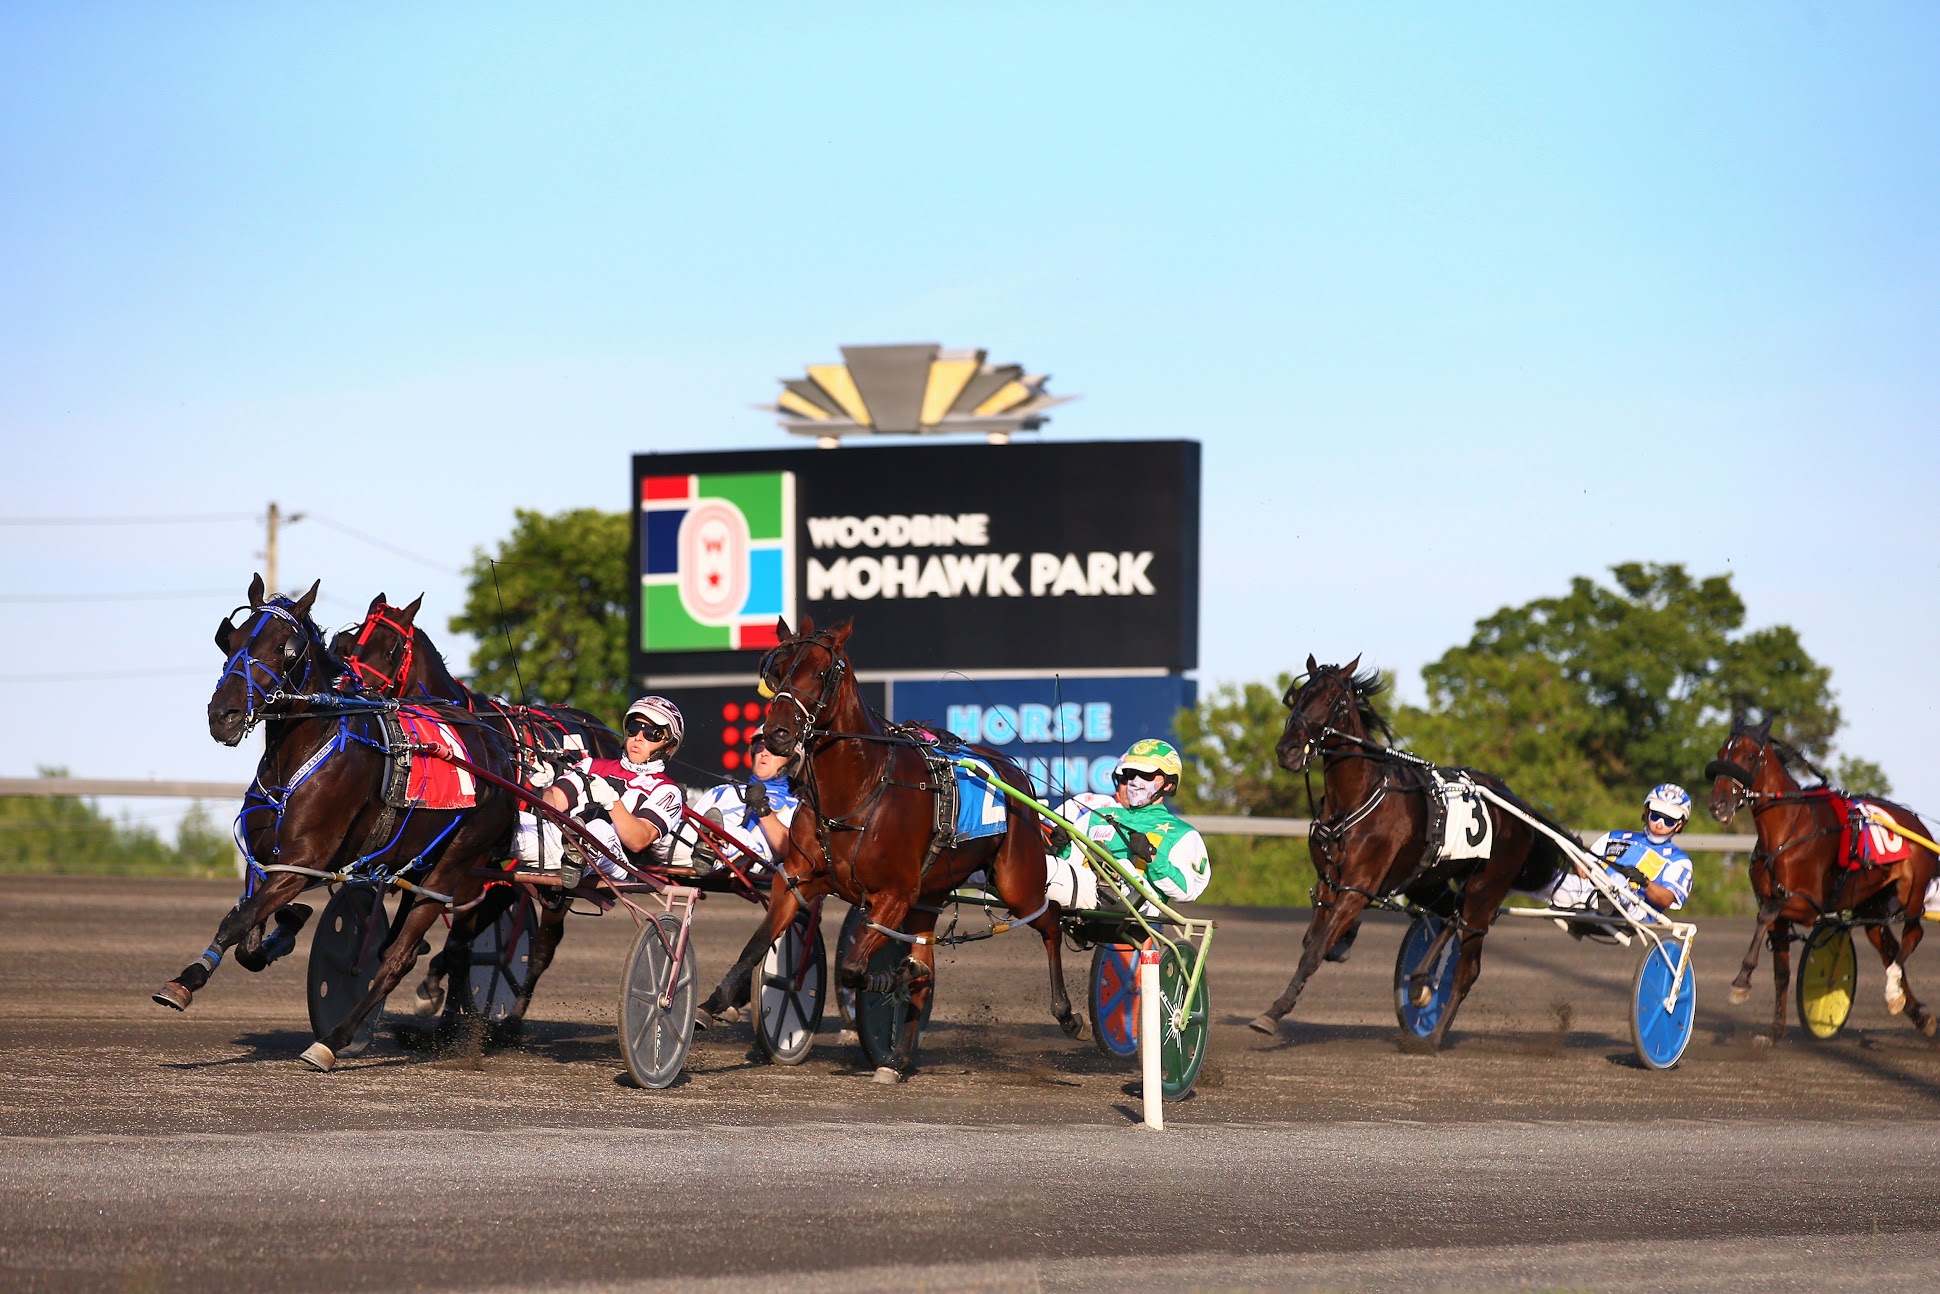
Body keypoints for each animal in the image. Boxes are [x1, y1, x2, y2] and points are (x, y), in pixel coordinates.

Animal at [155, 578, 523, 1070]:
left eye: (284, 647)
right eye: (230, 641)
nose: (223, 715)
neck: (307, 745)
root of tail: (501, 755)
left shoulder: (303, 861)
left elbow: (238, 921)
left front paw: (186, 980)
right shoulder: (266, 862)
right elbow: (249, 937)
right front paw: (285, 928)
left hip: (454, 865)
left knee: (400, 957)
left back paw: (333, 1040)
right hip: (421, 861)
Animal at [323, 593, 613, 1032]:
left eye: (392, 648)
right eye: (349, 643)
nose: (351, 690)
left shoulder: (472, 860)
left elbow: (458, 936)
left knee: (543, 943)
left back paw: (511, 1017)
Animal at [694, 616, 1086, 1086]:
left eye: (822, 672)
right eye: (777, 672)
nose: (778, 735)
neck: (861, 790)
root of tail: (1013, 771)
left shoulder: (894, 894)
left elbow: (853, 968)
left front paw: (890, 977)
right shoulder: (798, 881)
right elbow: (756, 946)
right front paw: (713, 1003)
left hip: (1015, 880)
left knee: (1049, 919)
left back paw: (1066, 1014)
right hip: (929, 897)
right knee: (929, 957)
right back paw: (896, 1059)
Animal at [1241, 659, 1575, 1055]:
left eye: (1335, 701)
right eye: (1297, 697)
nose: (1288, 750)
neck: (1354, 799)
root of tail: (1517, 807)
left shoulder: (1358, 886)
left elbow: (1315, 951)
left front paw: (1272, 1013)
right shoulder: (1328, 882)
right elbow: (1313, 941)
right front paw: (1342, 944)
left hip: (1486, 888)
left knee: (1468, 961)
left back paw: (1432, 1036)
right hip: (1426, 880)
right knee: (1450, 915)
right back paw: (1419, 980)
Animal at [1707, 713, 1932, 1047]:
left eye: (1748, 756)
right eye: (1722, 753)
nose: (1718, 805)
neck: (1789, 832)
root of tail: (1918, 824)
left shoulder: (1807, 906)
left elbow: (1764, 915)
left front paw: (1741, 982)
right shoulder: (1778, 908)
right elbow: (1781, 972)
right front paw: (1774, 1030)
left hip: (1912, 894)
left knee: (1913, 935)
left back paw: (1894, 992)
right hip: (1870, 906)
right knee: (1888, 946)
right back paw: (1917, 1013)